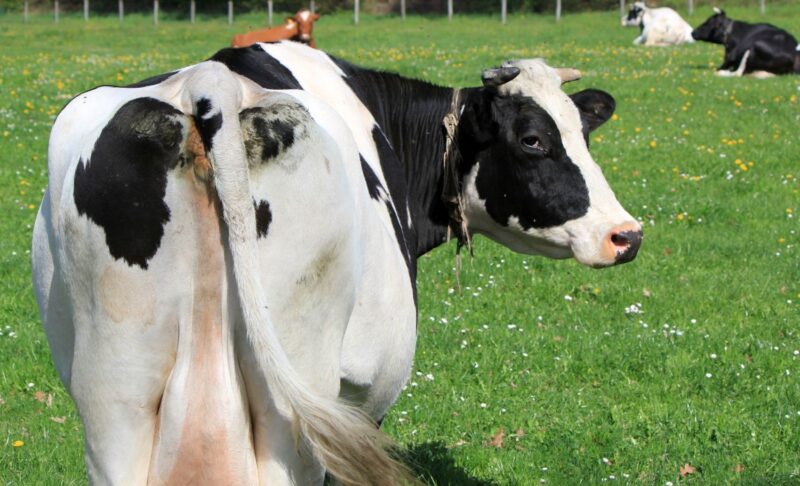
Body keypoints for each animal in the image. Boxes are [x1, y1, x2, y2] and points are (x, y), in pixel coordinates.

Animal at [32, 42, 643, 485]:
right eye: (534, 139)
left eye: (584, 134)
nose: (626, 235)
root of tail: (210, 84)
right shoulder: (362, 399)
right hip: (296, 402)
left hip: (114, 392)